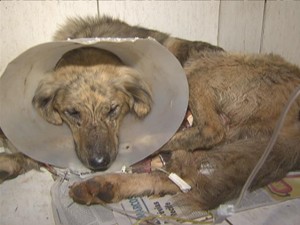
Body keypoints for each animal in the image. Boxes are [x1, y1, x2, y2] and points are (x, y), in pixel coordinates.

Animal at [0, 16, 300, 211]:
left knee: (209, 133)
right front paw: (11, 160)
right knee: (181, 178)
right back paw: (106, 186)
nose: (99, 163)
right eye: (72, 113)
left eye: (114, 110)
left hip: (197, 71)